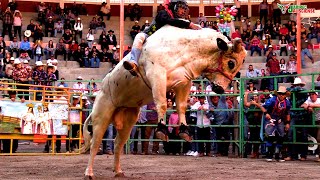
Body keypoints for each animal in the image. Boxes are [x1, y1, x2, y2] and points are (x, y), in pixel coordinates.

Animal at [80, 25, 248, 179]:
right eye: (231, 63)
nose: (220, 89)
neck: (183, 50)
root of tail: (102, 88)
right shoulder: (157, 76)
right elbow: (161, 103)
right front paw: (161, 129)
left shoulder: (183, 83)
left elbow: (181, 107)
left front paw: (184, 130)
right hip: (102, 115)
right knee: (95, 143)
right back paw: (89, 172)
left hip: (128, 120)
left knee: (117, 144)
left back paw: (118, 171)